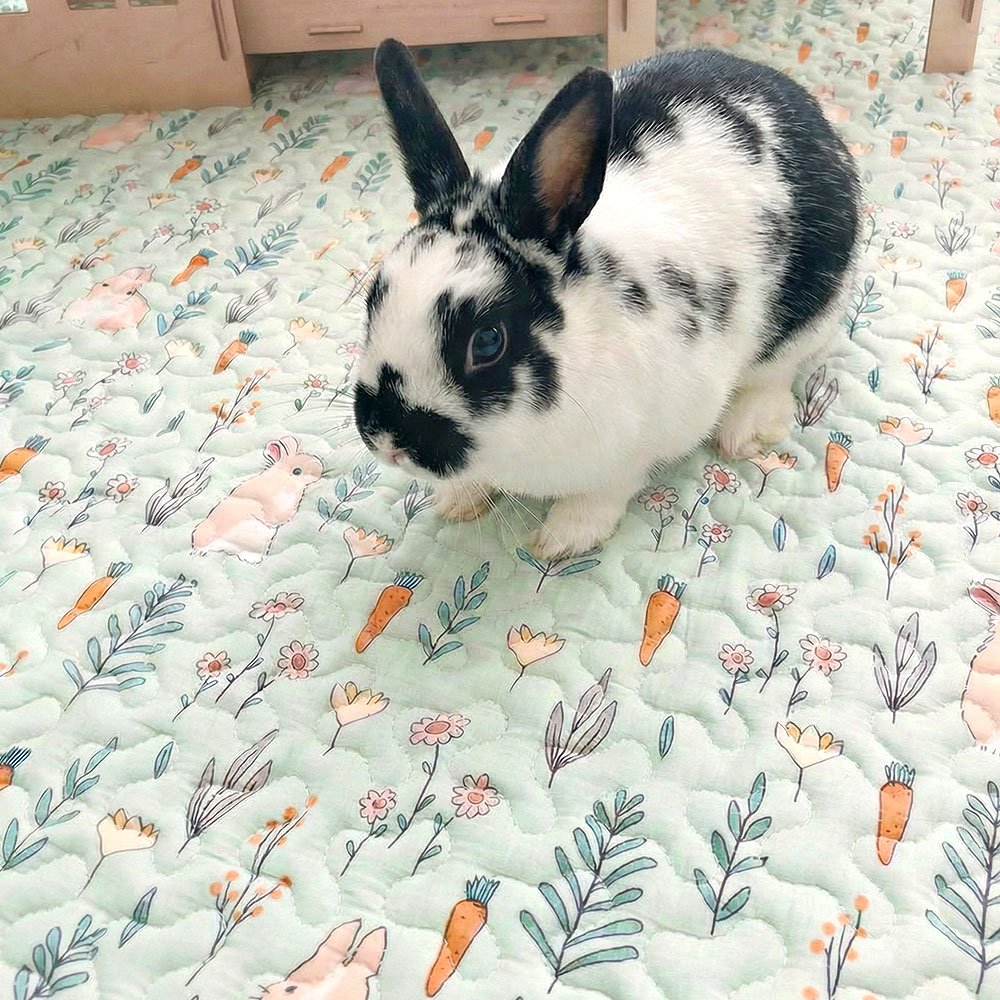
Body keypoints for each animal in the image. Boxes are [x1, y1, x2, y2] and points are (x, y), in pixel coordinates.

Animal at [351, 40, 861, 558]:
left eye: (488, 342)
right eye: (373, 300)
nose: (389, 442)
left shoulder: (649, 437)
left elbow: (606, 491)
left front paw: (561, 538)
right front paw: (458, 500)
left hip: (814, 312)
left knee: (777, 373)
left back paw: (744, 432)